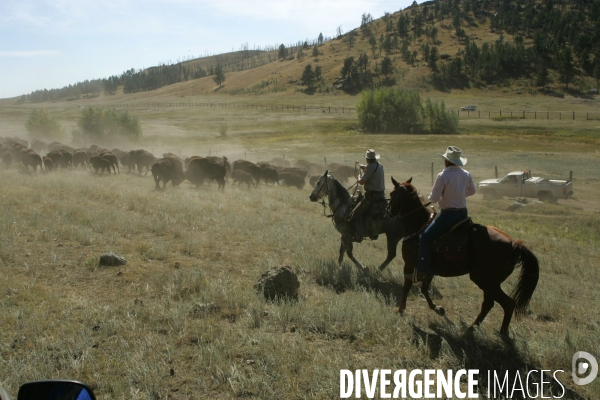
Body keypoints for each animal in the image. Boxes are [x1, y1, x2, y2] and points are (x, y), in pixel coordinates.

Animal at [386, 177, 540, 336]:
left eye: (392, 193)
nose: (388, 212)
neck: (418, 226)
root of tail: (514, 244)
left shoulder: (410, 265)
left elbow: (407, 286)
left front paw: (401, 308)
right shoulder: (428, 271)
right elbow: (424, 289)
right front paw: (438, 309)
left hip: (485, 281)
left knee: (507, 303)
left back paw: (501, 332)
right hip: (490, 282)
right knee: (489, 304)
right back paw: (472, 328)